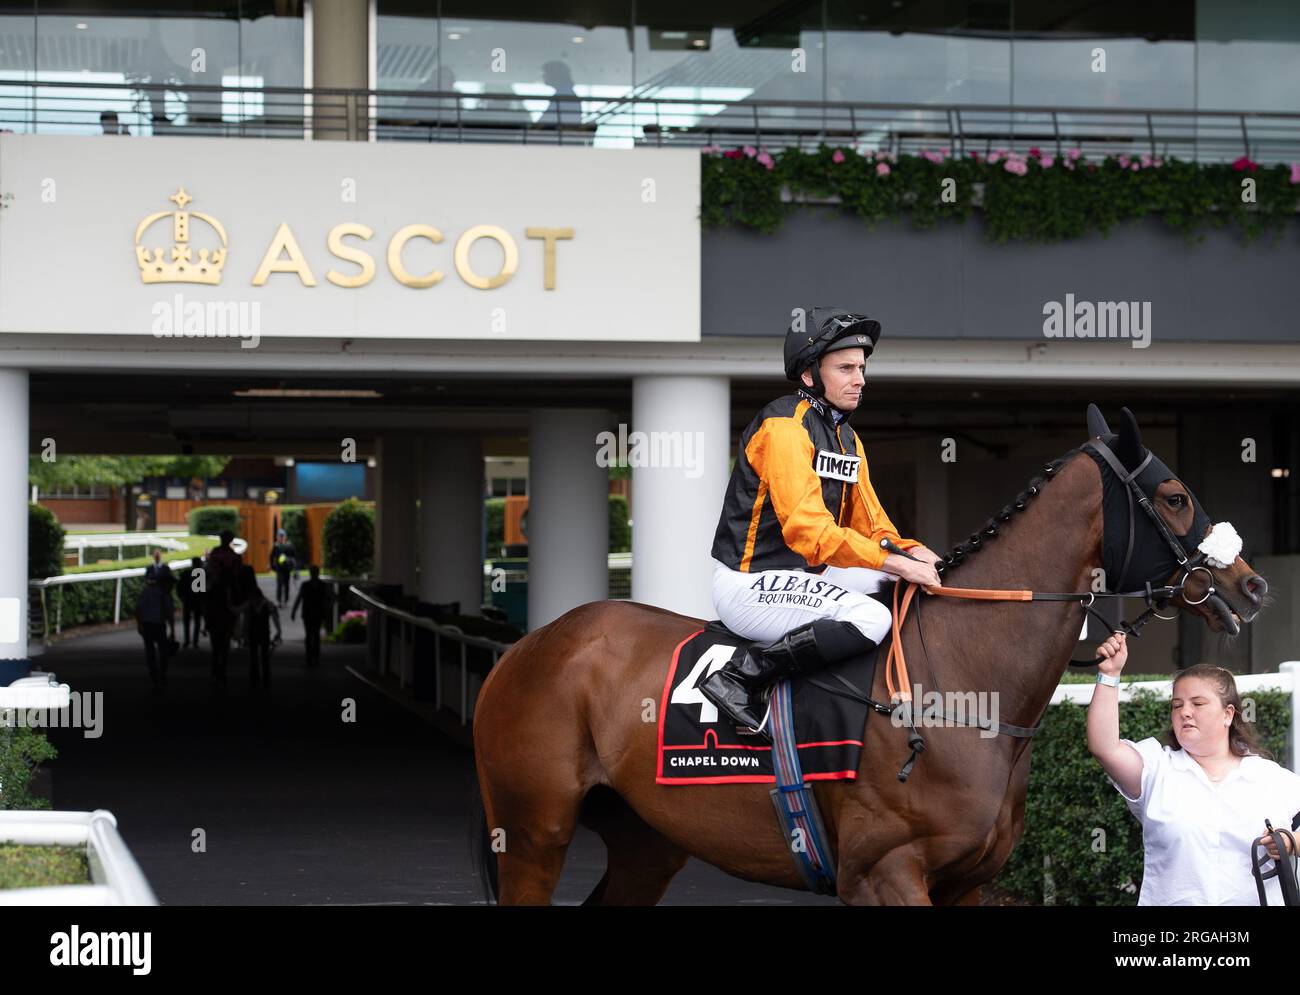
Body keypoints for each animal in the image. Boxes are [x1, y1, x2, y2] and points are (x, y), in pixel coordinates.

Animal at [473, 408, 1263, 905]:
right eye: (1175, 495)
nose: (1251, 585)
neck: (963, 685)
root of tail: (526, 647)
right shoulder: (885, 873)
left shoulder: (966, 883)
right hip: (534, 833)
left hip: (646, 842)